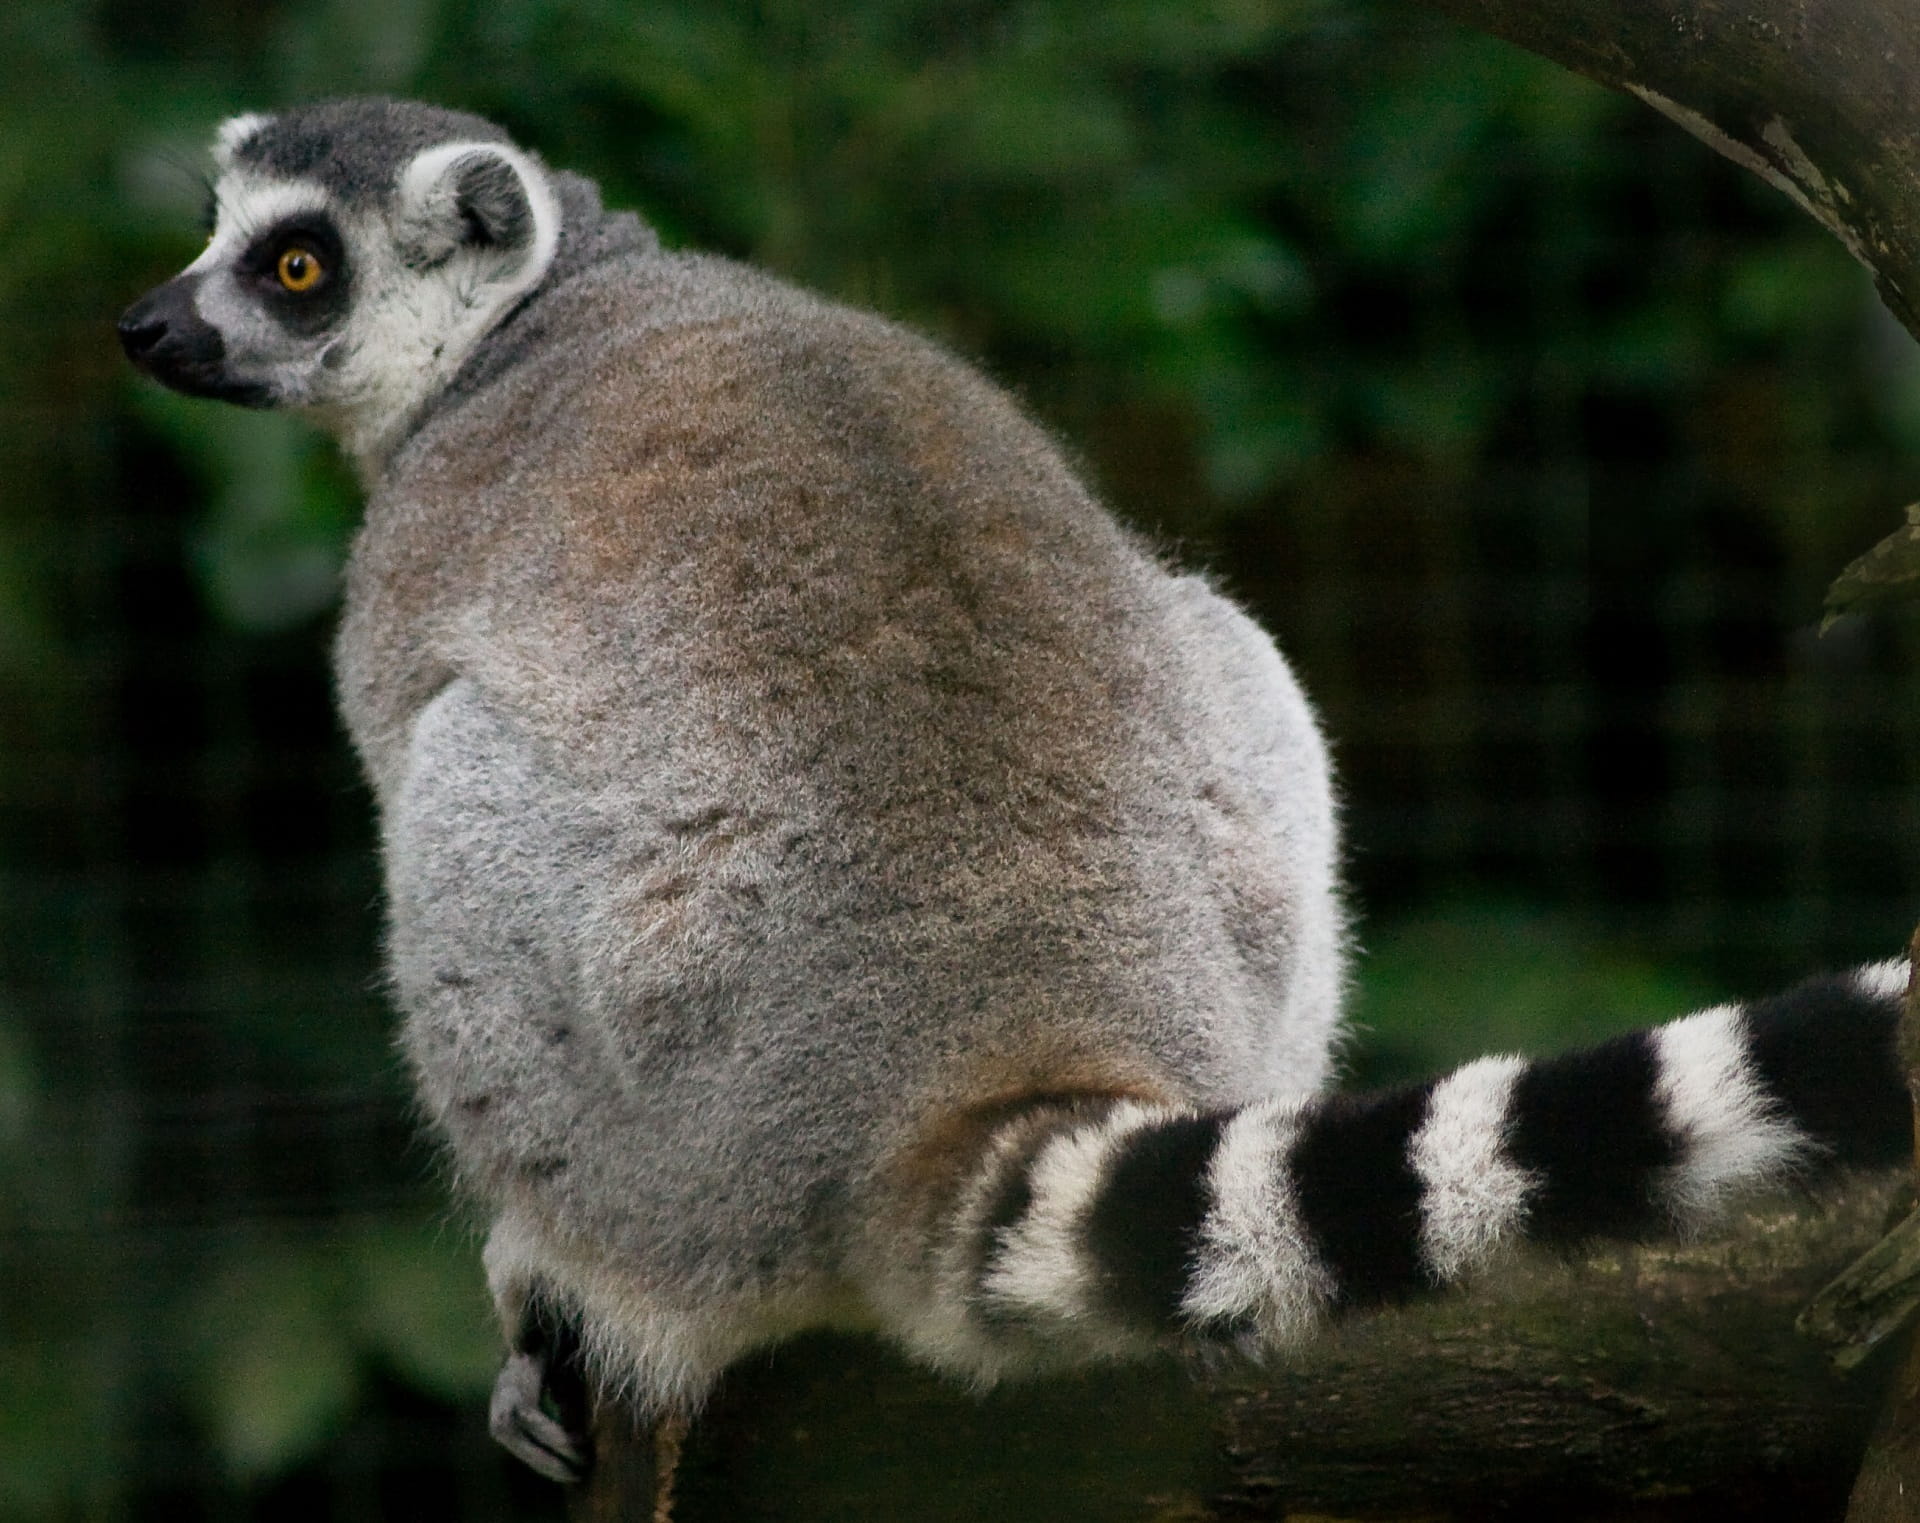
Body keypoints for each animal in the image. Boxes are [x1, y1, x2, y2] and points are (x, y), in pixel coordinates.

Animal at [118, 98, 1913, 1484]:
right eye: (214, 233)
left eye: (291, 267)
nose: (147, 328)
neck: (549, 305)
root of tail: (997, 1024)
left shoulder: (414, 556)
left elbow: (403, 714)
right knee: (1230, 640)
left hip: (672, 1118)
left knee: (458, 782)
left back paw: (568, 1270)